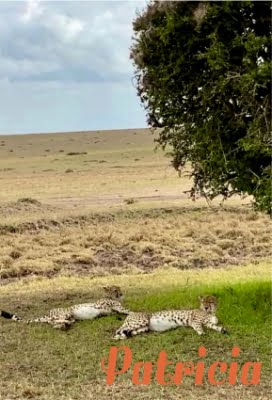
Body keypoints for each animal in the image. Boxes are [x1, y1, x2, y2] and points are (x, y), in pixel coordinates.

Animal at [0, 284, 130, 328]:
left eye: (119, 288)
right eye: (115, 290)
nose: (121, 293)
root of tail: (48, 313)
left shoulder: (114, 309)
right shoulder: (105, 305)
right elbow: (125, 309)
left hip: (67, 316)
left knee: (52, 323)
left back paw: (64, 325)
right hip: (66, 313)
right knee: (54, 321)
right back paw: (65, 324)